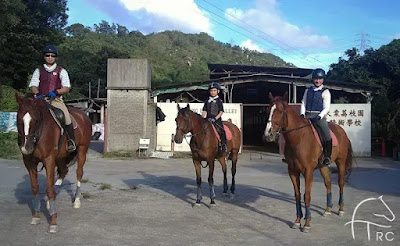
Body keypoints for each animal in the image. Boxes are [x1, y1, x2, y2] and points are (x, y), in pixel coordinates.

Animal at [14, 93, 91, 233]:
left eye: (36, 120)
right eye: (18, 118)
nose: (26, 147)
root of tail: (83, 115)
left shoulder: (49, 160)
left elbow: (49, 189)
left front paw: (53, 222)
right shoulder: (29, 162)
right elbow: (35, 188)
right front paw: (36, 216)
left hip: (82, 150)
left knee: (79, 173)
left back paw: (76, 201)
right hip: (60, 157)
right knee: (63, 171)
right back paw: (51, 203)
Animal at [266, 92, 354, 233]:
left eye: (279, 111)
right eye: (268, 110)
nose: (269, 134)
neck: (299, 138)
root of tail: (342, 131)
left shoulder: (308, 172)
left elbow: (306, 196)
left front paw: (307, 223)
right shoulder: (292, 171)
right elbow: (297, 195)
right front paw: (297, 221)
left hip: (341, 162)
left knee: (340, 183)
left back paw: (340, 209)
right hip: (323, 166)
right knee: (328, 183)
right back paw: (328, 209)